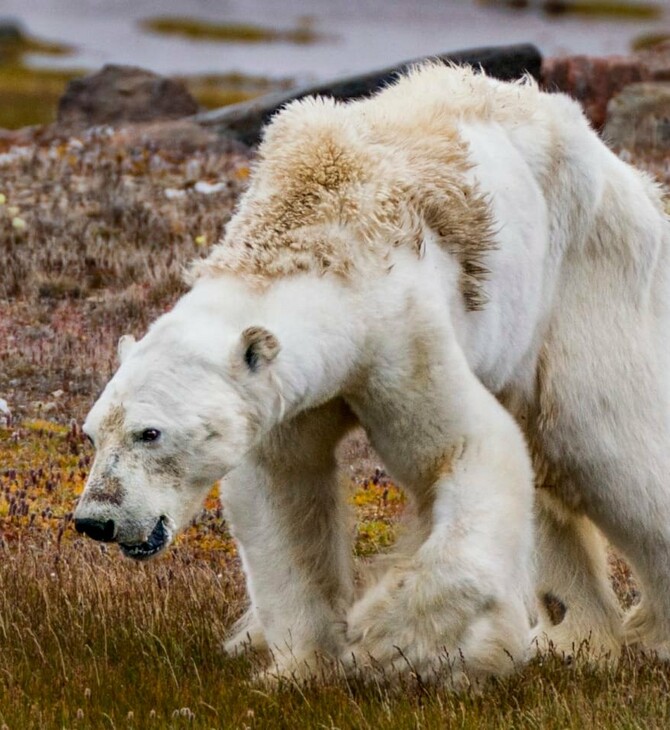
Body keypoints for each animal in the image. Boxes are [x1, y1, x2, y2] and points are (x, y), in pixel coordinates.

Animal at [73, 62, 670, 684]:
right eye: (91, 434)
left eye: (150, 432)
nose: (95, 520)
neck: (314, 230)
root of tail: (634, 179)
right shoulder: (289, 394)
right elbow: (283, 491)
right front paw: (300, 667)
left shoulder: (399, 334)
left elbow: (465, 448)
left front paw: (390, 640)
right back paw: (576, 638)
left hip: (583, 280)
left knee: (603, 446)